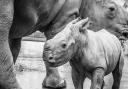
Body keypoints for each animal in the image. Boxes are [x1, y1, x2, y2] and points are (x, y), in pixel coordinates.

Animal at [0, 0, 128, 88]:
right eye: (111, 9)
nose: (126, 33)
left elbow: (14, 48)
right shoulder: (66, 14)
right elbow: (54, 34)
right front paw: (58, 84)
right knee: (4, 23)